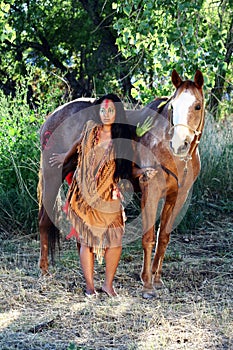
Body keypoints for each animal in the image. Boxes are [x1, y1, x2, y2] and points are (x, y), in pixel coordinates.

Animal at [37, 69, 204, 298]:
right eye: (172, 107)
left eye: (197, 106)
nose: (179, 145)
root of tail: (53, 116)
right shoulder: (151, 191)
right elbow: (149, 237)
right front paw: (147, 285)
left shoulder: (177, 196)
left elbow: (163, 237)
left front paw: (157, 279)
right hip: (52, 177)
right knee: (44, 221)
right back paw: (44, 271)